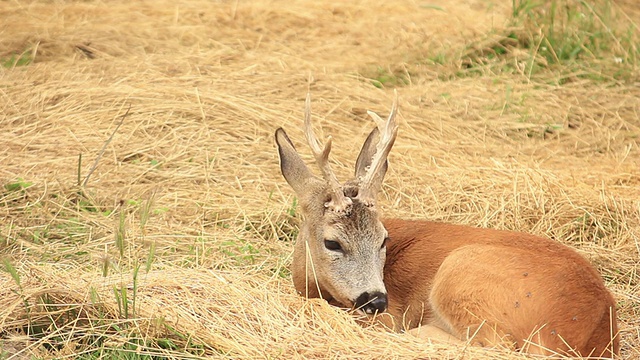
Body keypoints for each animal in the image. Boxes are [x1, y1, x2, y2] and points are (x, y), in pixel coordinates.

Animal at [276, 93, 620, 358]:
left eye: (383, 239)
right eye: (332, 242)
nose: (376, 300)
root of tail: (589, 332)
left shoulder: (389, 316)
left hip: (461, 272)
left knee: (497, 346)